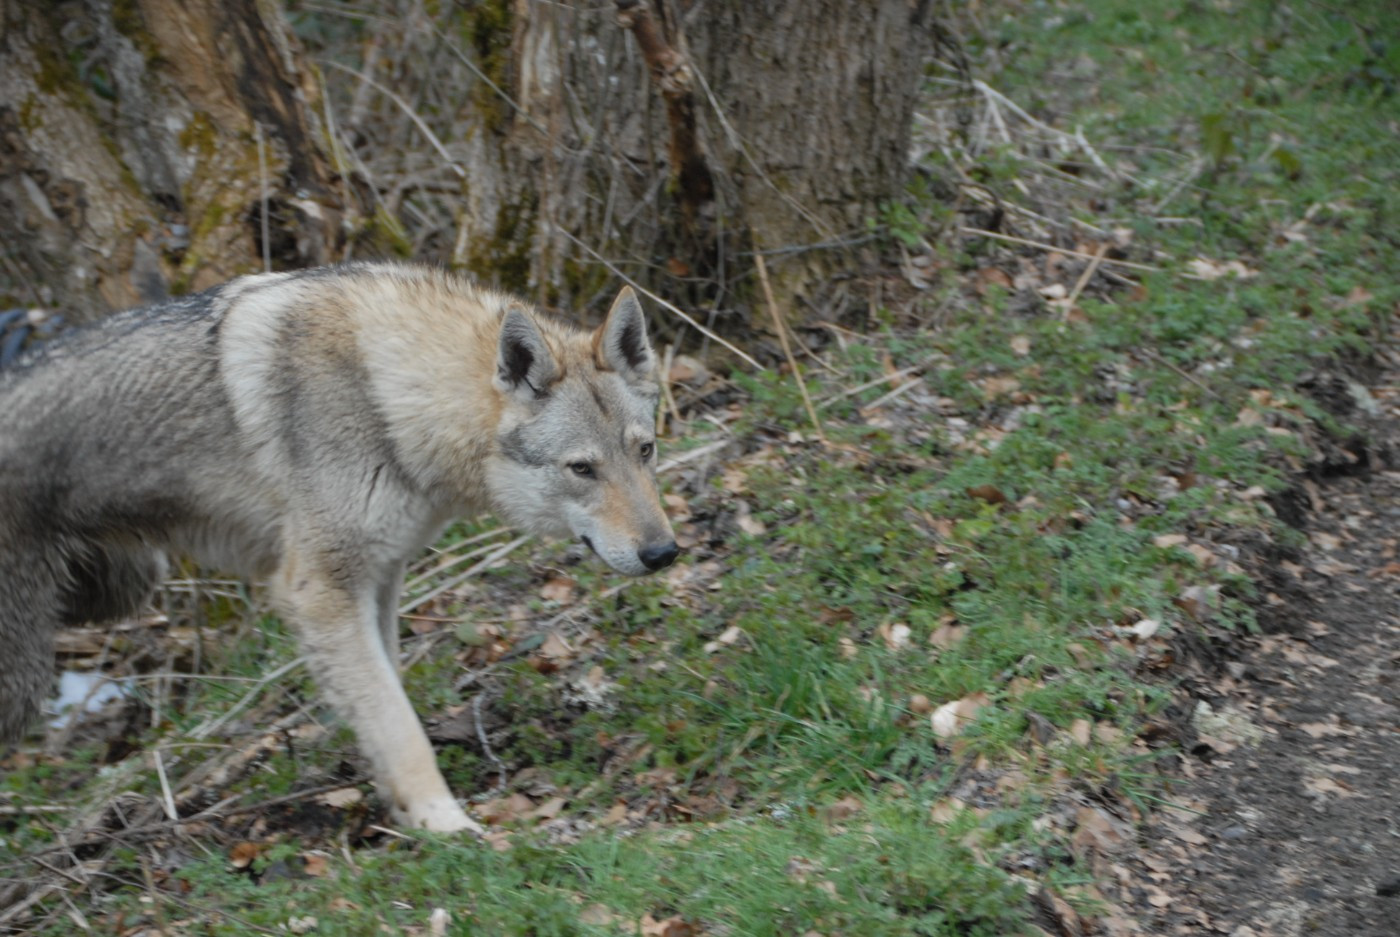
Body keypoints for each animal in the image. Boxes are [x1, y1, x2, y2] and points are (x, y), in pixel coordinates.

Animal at [0, 263, 678, 832]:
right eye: (582, 469)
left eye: (644, 451)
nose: (663, 553)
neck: (383, 394)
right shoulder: (321, 593)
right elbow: (398, 723)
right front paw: (445, 824)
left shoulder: (379, 580)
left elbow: (388, 702)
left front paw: (401, 810)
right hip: (33, 670)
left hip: (122, 586)